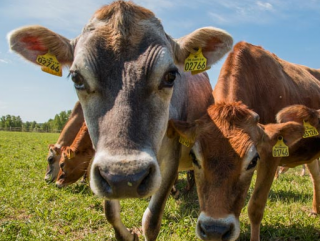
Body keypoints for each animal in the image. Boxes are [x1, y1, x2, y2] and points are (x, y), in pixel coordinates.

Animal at [7, 1, 232, 239]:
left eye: (170, 76)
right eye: (77, 78)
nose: (126, 178)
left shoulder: (172, 158)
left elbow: (151, 221)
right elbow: (110, 212)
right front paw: (127, 234)